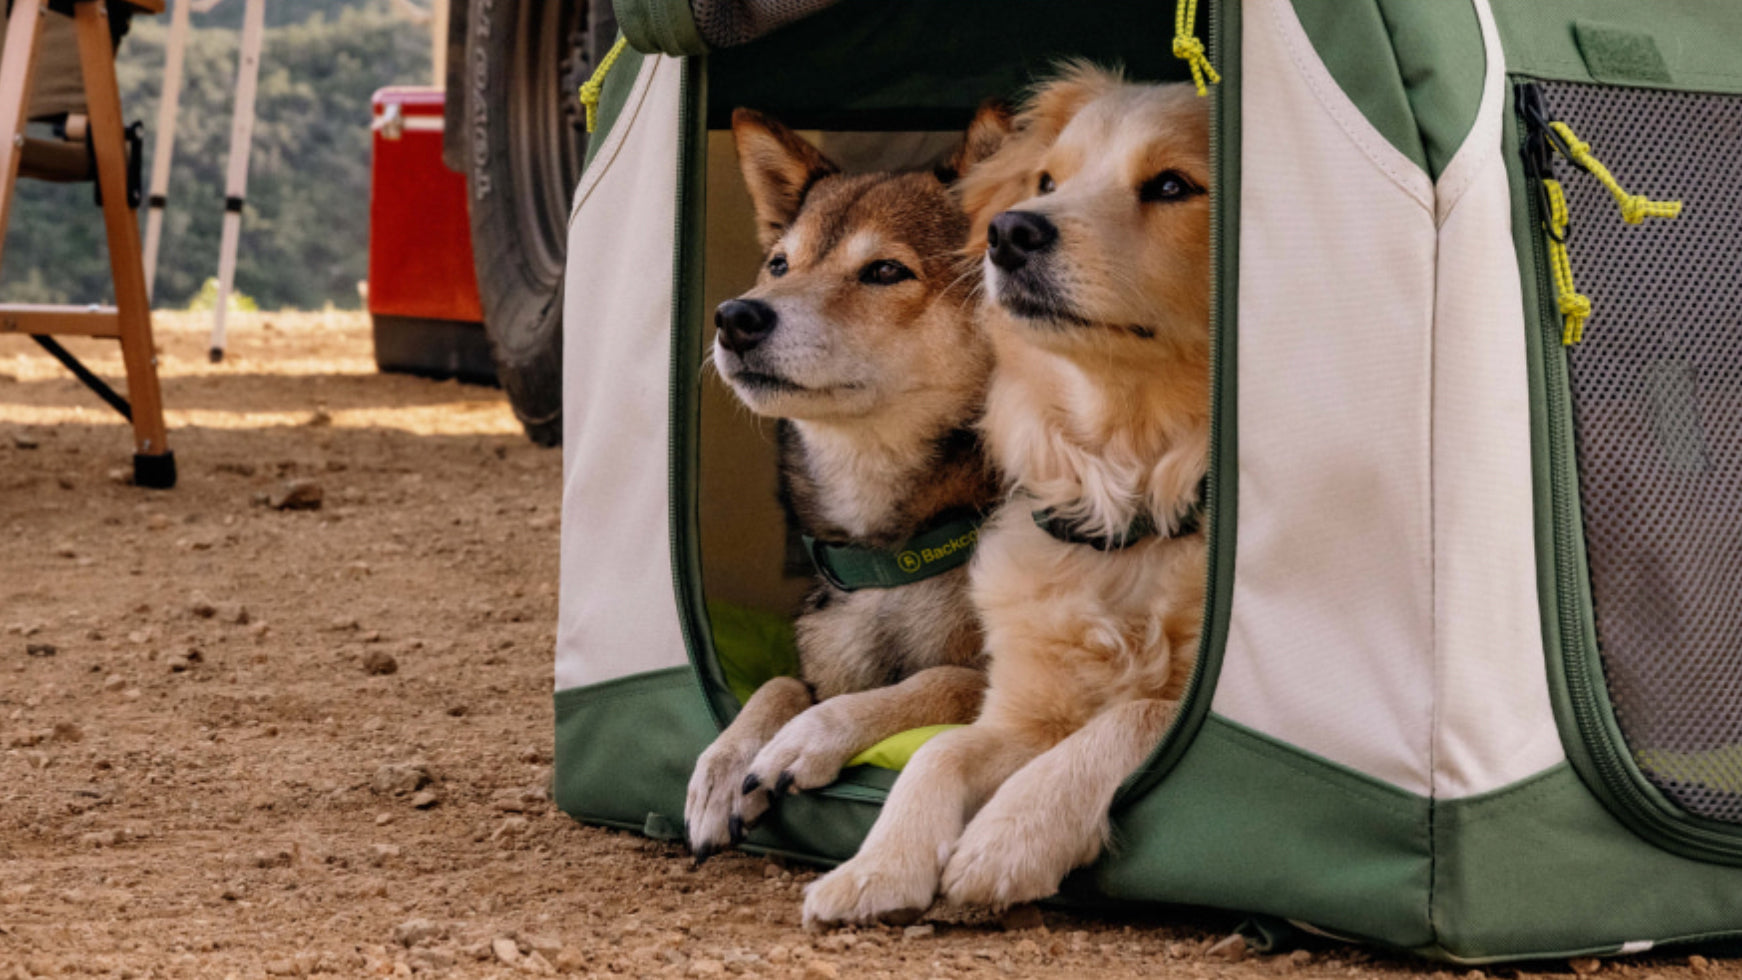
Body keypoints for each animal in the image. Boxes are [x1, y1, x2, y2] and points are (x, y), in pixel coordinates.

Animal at [679, 107, 1010, 863]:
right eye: (779, 265)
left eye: (885, 270)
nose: (736, 316)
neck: (893, 561)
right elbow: (778, 682)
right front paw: (724, 763)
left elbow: (941, 678)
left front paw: (806, 738)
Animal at [801, 69, 1212, 926]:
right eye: (1047, 182)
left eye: (1172, 185)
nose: (1010, 232)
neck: (1126, 493)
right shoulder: (1024, 709)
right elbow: (939, 748)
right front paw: (878, 864)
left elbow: (1137, 712)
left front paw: (1012, 834)